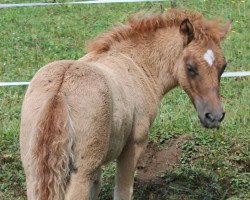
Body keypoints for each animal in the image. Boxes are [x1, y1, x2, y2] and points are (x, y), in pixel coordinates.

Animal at [20, 9, 231, 200]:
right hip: (81, 173)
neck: (136, 64)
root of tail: (59, 92)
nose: (214, 116)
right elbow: (123, 192)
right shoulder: (133, 147)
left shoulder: (98, 166)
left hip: (34, 173)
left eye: (223, 66)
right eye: (190, 67)